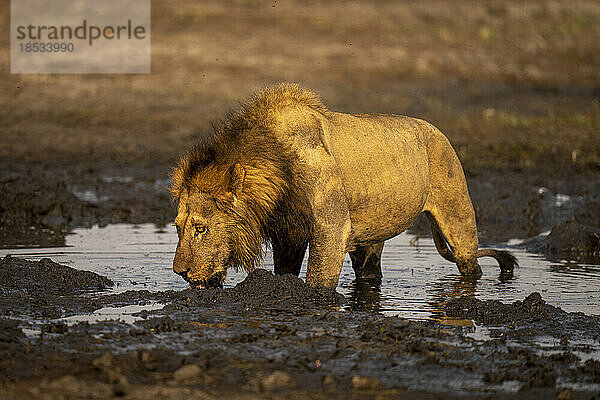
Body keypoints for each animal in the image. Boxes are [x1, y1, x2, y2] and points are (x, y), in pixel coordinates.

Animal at [169, 83, 516, 290]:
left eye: (201, 228)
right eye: (177, 228)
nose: (180, 272)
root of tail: (436, 130)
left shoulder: (331, 227)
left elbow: (319, 279)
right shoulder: (288, 231)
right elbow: (286, 269)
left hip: (458, 216)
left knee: (469, 262)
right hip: (372, 234)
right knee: (369, 268)